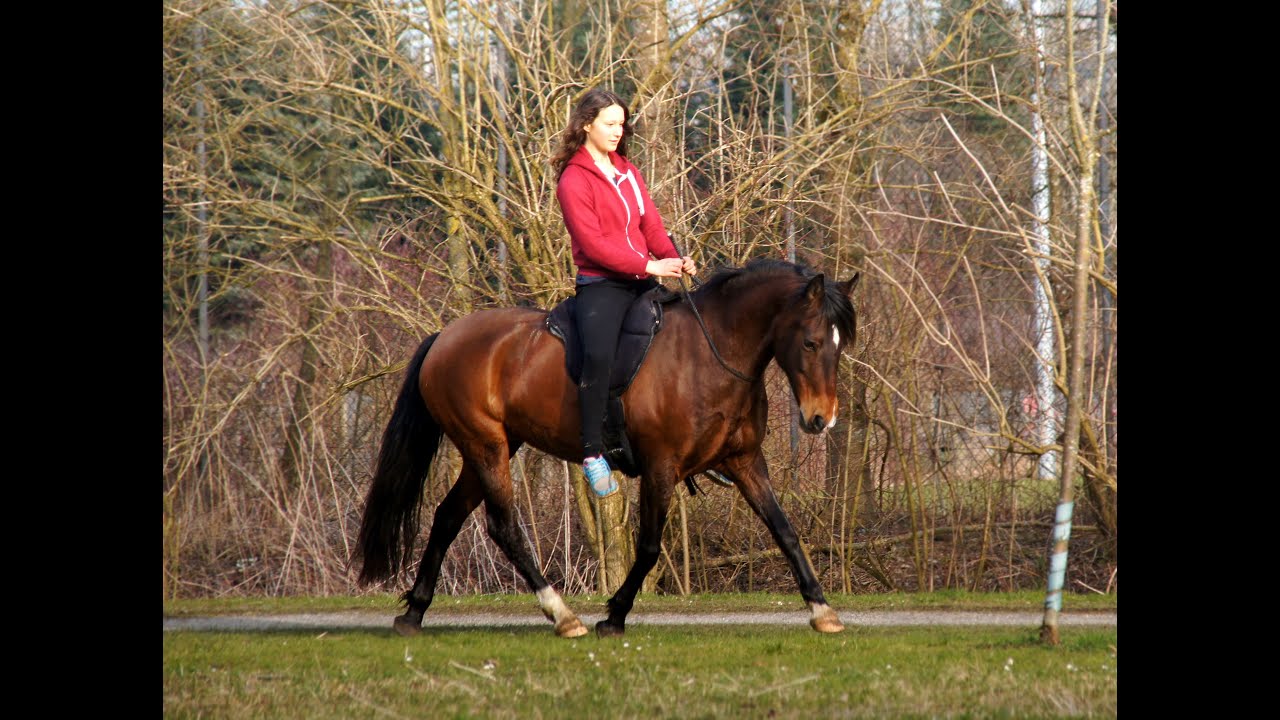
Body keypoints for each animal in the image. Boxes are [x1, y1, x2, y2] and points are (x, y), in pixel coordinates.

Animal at [354, 258, 860, 638]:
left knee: (446, 518)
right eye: (811, 342)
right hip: (486, 447)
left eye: (839, 347)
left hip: (491, 449)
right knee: (504, 527)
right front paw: (614, 615)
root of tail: (446, 336)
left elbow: (785, 531)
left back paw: (414, 612)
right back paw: (561, 614)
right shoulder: (660, 468)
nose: (821, 419)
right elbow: (650, 546)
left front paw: (821, 609)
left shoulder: (746, 463)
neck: (713, 353)